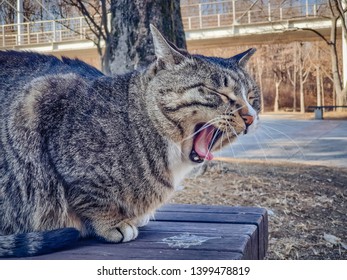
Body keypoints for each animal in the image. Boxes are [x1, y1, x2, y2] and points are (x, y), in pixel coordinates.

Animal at [0, 25, 260, 258]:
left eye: (252, 97)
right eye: (218, 93)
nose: (251, 116)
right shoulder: (42, 98)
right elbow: (90, 196)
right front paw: (111, 222)